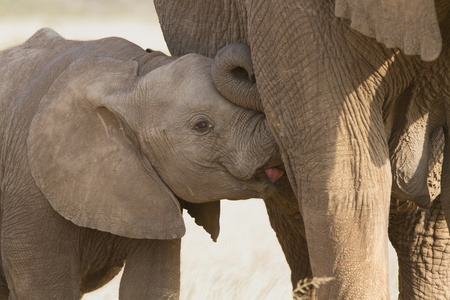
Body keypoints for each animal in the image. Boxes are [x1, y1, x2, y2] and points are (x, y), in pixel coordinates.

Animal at [0, 28, 282, 300]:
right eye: (202, 125)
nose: (250, 70)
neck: (131, 77)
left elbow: (151, 287)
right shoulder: (28, 193)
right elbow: (47, 290)